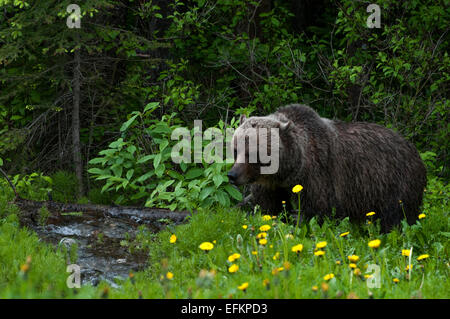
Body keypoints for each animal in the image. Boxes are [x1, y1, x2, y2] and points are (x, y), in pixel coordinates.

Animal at [227, 105, 428, 232]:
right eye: (236, 149)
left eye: (254, 152)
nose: (232, 175)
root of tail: (414, 150)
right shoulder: (271, 185)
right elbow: (267, 207)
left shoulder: (316, 176)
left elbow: (318, 209)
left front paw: (298, 220)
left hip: (393, 182)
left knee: (396, 216)